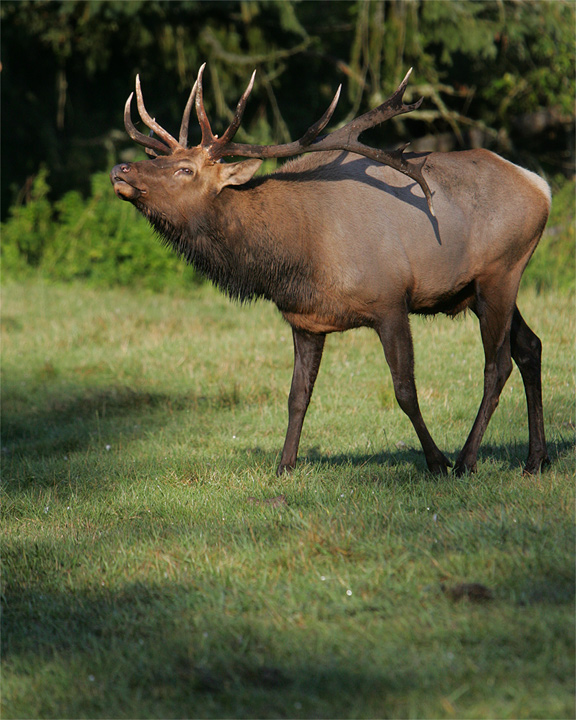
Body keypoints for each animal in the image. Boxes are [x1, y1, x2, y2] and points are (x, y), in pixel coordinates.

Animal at [110, 64, 552, 476]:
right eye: (160, 158)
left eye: (185, 168)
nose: (120, 170)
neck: (297, 254)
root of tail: (540, 186)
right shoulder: (304, 319)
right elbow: (297, 396)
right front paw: (284, 465)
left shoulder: (390, 301)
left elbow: (404, 390)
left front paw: (436, 461)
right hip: (477, 288)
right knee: (530, 347)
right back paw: (536, 459)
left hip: (501, 272)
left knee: (498, 365)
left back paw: (466, 460)